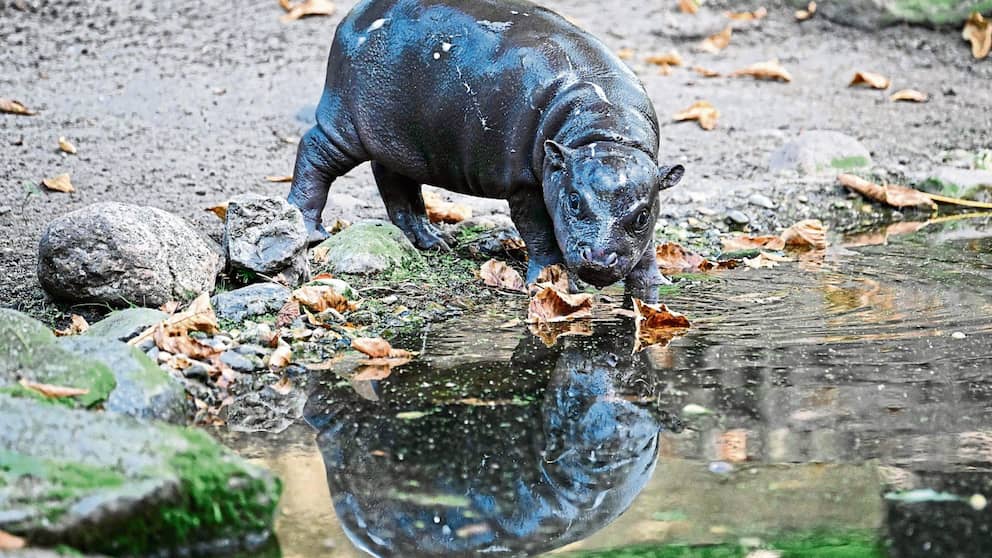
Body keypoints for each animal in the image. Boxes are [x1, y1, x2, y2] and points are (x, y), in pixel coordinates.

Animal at [286, 0, 680, 302]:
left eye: (642, 216)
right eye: (573, 200)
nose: (599, 258)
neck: (603, 130)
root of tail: (358, 11)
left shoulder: (649, 184)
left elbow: (647, 245)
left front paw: (655, 283)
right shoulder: (524, 185)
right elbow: (539, 233)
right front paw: (552, 280)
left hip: (398, 139)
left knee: (395, 181)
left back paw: (433, 241)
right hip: (344, 125)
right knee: (314, 153)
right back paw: (309, 229)